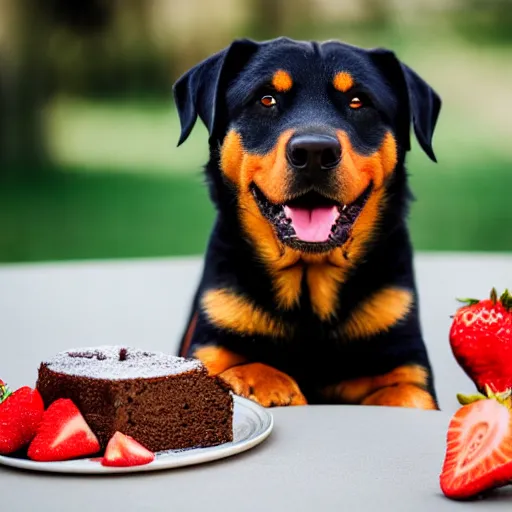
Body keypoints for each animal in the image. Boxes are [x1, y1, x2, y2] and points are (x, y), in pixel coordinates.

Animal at [172, 37, 440, 408]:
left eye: (358, 101)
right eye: (266, 99)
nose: (314, 151)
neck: (310, 285)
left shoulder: (405, 363)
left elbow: (405, 394)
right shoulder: (214, 336)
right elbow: (244, 366)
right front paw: (273, 386)